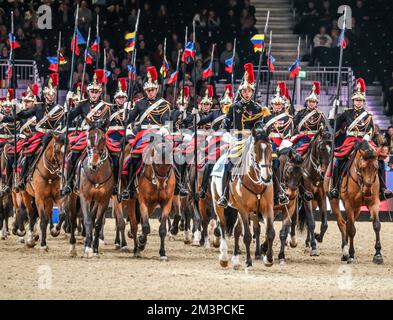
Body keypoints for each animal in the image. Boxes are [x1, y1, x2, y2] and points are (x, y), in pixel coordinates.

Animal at [126, 134, 175, 262]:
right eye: (156, 164)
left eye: (169, 165)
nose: (161, 186)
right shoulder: (143, 201)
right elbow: (146, 227)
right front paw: (141, 242)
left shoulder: (166, 203)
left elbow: (162, 229)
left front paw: (162, 253)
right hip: (131, 200)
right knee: (134, 225)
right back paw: (136, 249)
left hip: (152, 205)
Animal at [211, 127, 272, 270]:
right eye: (253, 153)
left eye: (270, 149)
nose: (266, 177)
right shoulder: (243, 209)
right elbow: (248, 236)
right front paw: (248, 262)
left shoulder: (267, 207)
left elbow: (270, 232)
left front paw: (268, 259)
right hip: (218, 204)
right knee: (223, 226)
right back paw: (224, 257)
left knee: (237, 230)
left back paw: (236, 260)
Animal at [298, 127, 330, 255]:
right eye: (322, 148)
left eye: (331, 149)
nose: (323, 172)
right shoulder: (307, 199)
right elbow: (311, 223)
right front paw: (314, 246)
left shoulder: (321, 198)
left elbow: (324, 224)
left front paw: (317, 238)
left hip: (314, 203)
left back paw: (308, 241)